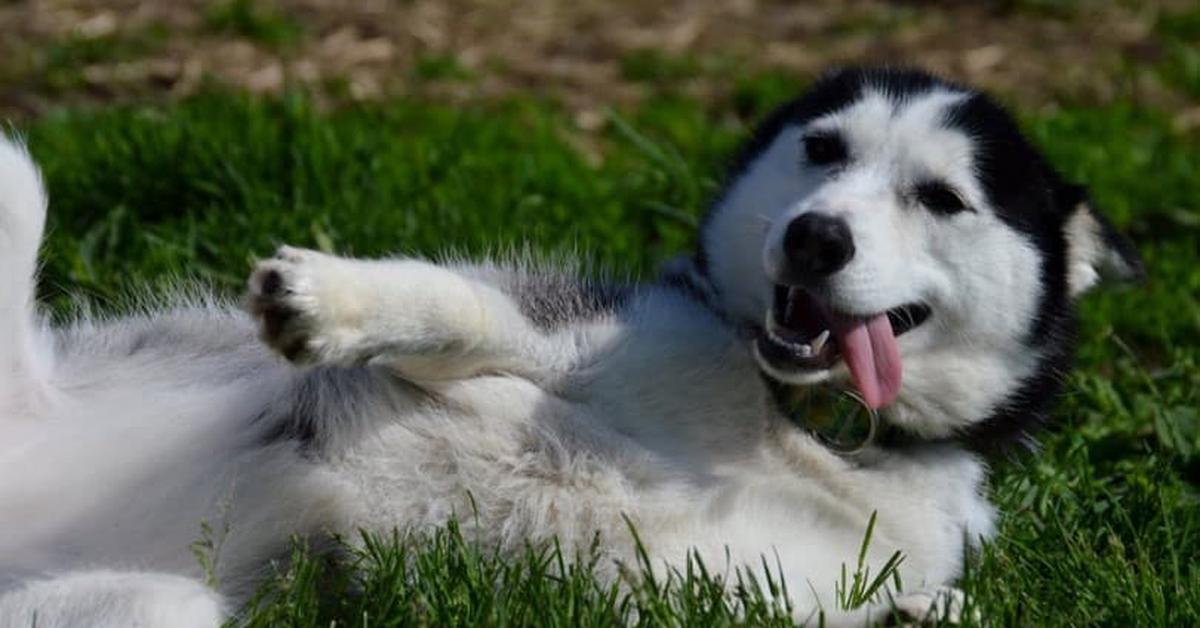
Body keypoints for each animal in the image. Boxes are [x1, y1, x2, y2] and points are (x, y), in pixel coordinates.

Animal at [0, 66, 1142, 624]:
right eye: (824, 148)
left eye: (941, 197)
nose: (816, 236)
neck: (805, 428)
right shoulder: (575, 335)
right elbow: (459, 309)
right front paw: (335, 299)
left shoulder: (729, 580)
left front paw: (923, 615)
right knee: (22, 186)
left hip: (158, 605)